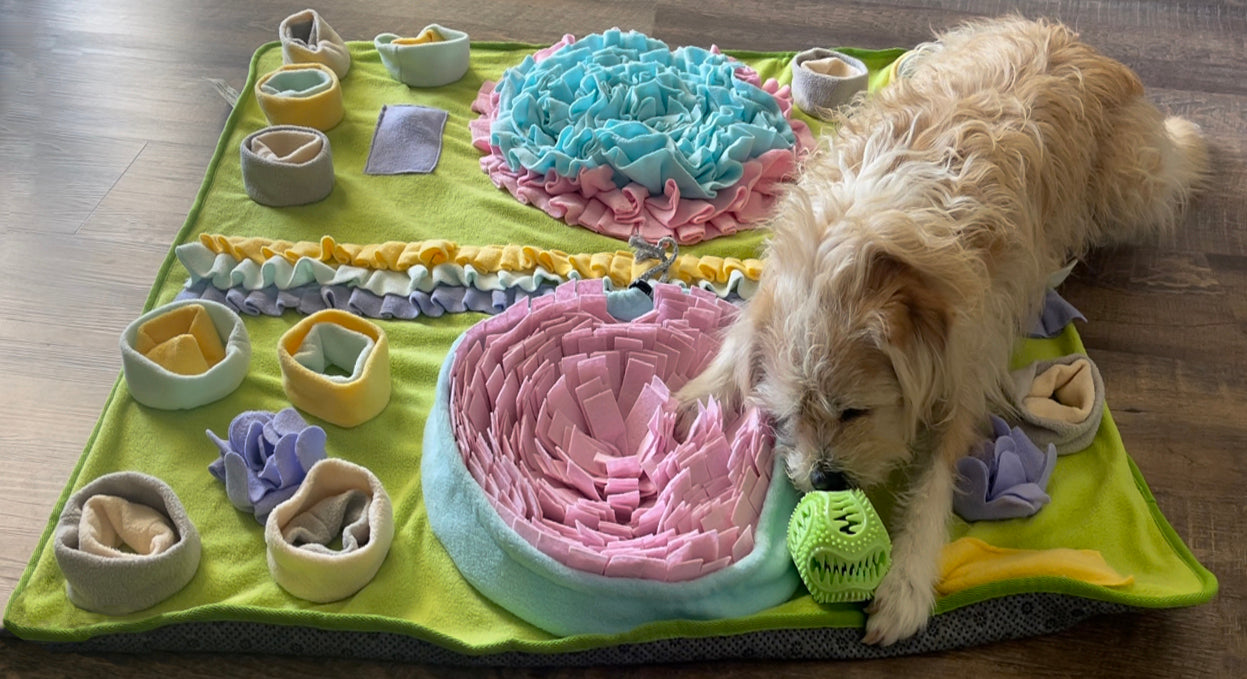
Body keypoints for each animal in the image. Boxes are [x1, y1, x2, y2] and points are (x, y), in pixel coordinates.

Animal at [683, 14, 1207, 642]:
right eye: (786, 415)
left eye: (854, 411)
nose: (824, 479)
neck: (870, 250)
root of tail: (1076, 41)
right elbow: (735, 343)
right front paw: (692, 401)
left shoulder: (968, 362)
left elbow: (935, 475)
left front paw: (906, 582)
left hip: (1128, 187)